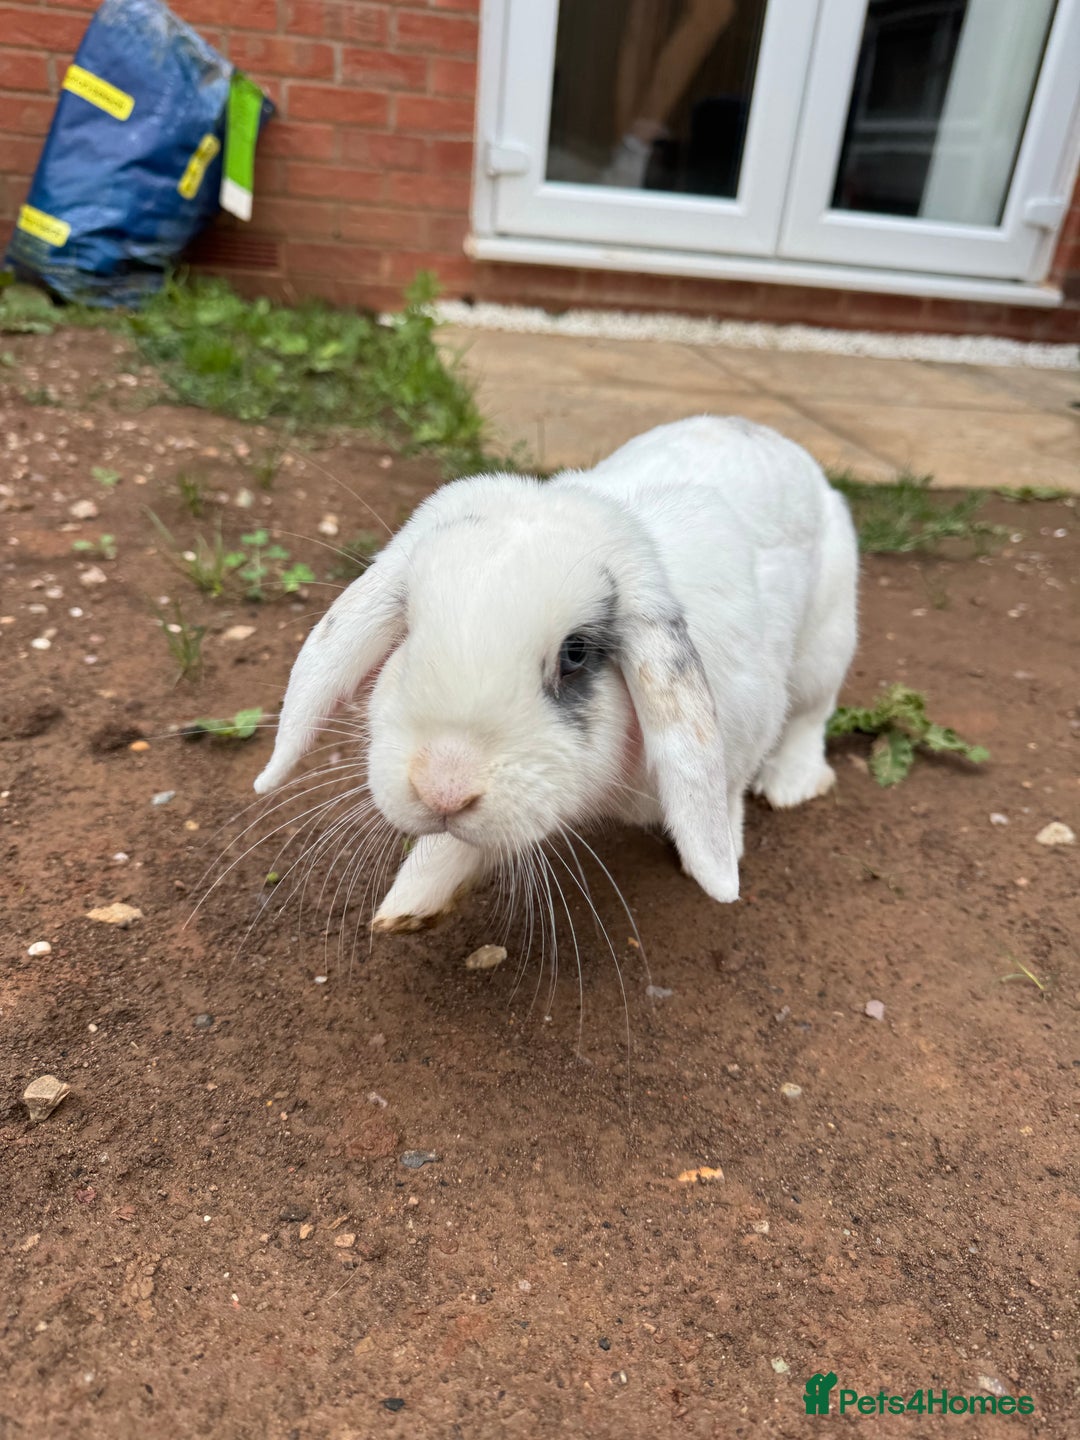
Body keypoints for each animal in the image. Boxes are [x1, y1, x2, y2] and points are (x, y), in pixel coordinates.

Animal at [254, 416, 858, 933]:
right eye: (410, 632)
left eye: (576, 652)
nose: (442, 788)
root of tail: (767, 435)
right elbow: (465, 842)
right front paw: (411, 902)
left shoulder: (747, 721)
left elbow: (726, 792)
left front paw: (719, 855)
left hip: (825, 642)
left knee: (812, 715)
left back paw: (790, 784)